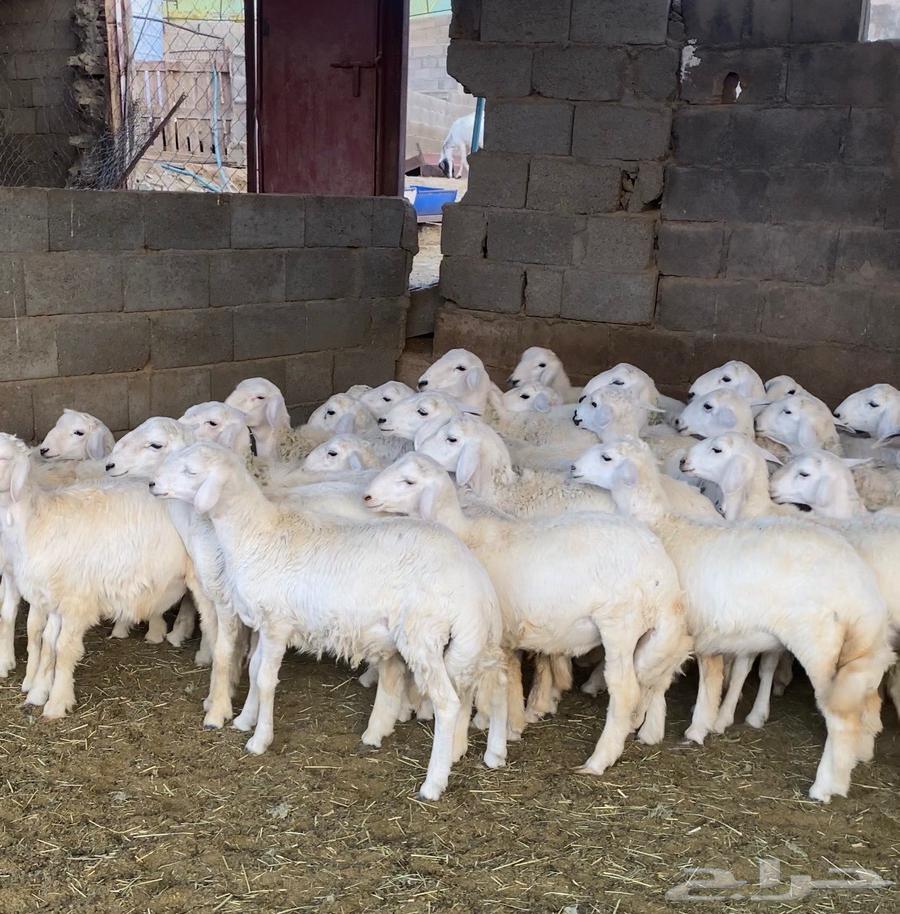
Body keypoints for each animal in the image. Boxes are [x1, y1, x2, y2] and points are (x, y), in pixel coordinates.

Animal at [150, 441, 508, 800]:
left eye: (191, 471)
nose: (152, 484)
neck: (256, 532)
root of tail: (476, 582)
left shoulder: (277, 623)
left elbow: (265, 679)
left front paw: (259, 739)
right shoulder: (265, 623)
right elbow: (253, 670)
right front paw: (244, 719)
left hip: (423, 634)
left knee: (448, 703)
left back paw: (434, 782)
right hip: (464, 641)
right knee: (479, 684)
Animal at [364, 452, 691, 766]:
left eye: (409, 481)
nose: (366, 496)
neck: (466, 533)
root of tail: (665, 574)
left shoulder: (483, 634)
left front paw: (469, 738)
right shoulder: (507, 636)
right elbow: (510, 681)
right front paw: (510, 728)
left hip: (620, 624)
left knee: (624, 690)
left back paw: (599, 759)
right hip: (650, 634)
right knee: (656, 677)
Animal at [571, 437, 893, 802]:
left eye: (606, 457)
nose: (573, 467)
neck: (666, 526)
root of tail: (861, 588)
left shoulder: (674, 629)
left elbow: (658, 679)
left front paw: (649, 726)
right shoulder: (705, 633)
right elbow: (704, 677)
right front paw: (698, 725)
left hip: (819, 644)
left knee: (841, 717)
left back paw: (825, 786)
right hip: (860, 649)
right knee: (867, 697)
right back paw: (856, 758)